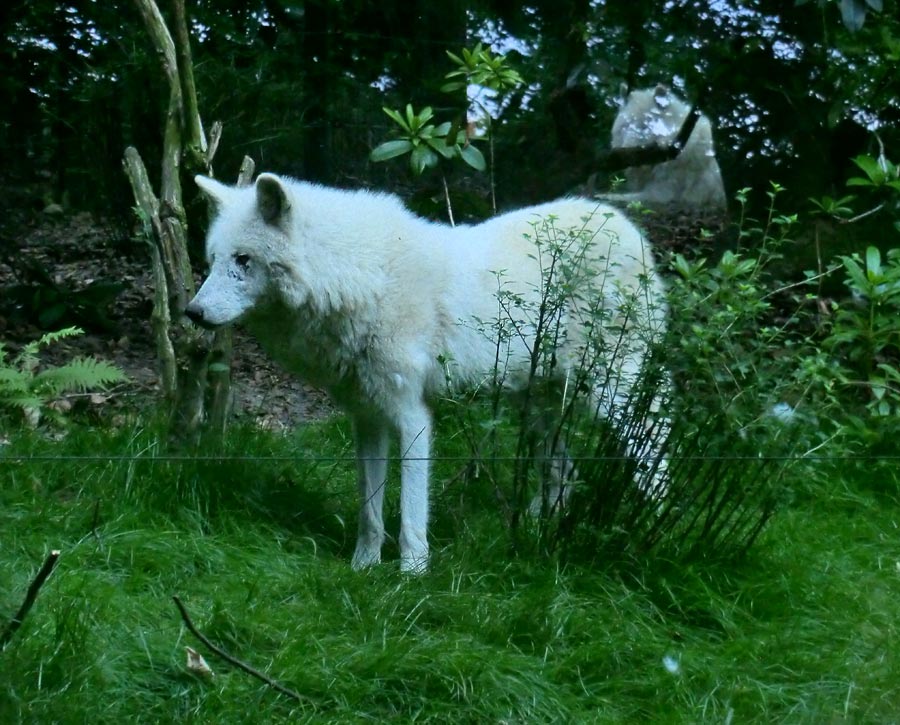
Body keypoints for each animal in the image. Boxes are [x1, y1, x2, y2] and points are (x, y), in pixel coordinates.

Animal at [186, 174, 668, 572]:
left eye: (243, 260)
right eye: (213, 260)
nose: (193, 312)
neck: (359, 276)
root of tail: (626, 226)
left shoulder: (412, 415)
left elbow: (411, 510)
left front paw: (411, 576)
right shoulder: (367, 417)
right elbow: (370, 510)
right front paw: (362, 568)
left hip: (611, 397)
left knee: (657, 458)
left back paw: (658, 539)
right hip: (540, 410)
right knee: (564, 471)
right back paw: (536, 532)